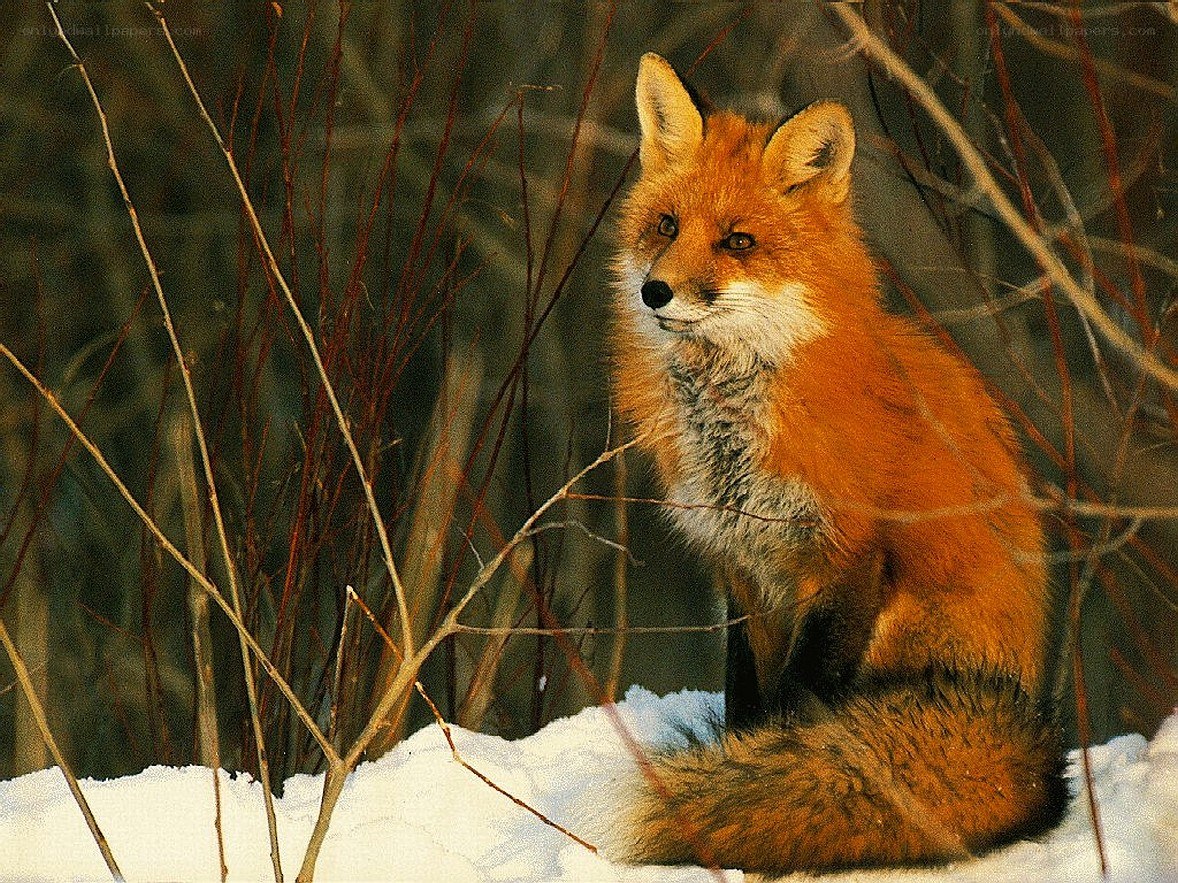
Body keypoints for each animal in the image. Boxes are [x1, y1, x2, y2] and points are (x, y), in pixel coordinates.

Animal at [605, 53, 1068, 875]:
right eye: (667, 226)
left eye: (738, 241)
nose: (655, 291)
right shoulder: (743, 569)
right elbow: (748, 705)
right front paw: (738, 772)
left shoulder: (846, 557)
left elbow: (795, 707)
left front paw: (756, 792)